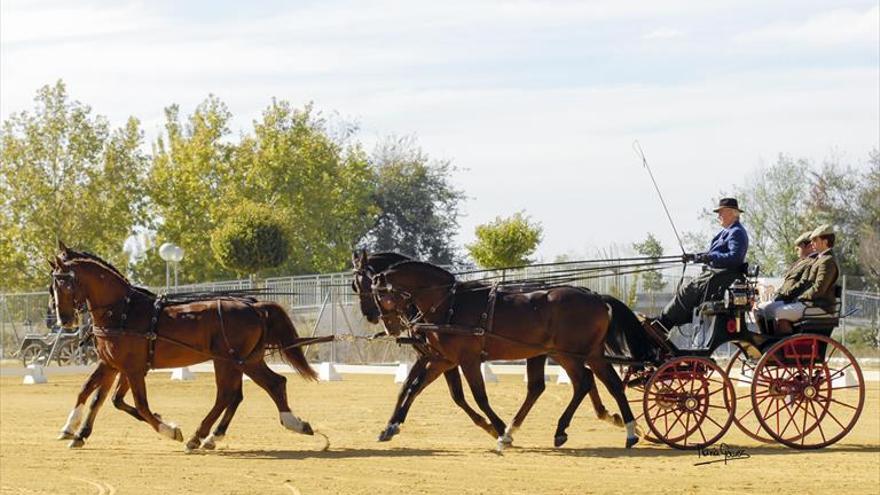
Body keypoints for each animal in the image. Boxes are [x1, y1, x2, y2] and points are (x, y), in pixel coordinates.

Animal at [50, 242, 316, 452]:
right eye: (53, 285)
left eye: (65, 283)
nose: (64, 319)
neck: (122, 310)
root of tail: (255, 306)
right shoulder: (112, 364)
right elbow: (93, 394)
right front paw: (75, 431)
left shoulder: (133, 368)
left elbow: (139, 405)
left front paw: (169, 429)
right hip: (246, 360)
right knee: (265, 386)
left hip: (229, 361)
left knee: (230, 394)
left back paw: (199, 437)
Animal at [372, 260, 648, 450]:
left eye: (380, 296)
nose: (390, 327)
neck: (449, 303)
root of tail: (594, 295)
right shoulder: (442, 359)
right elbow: (413, 388)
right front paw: (391, 426)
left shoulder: (467, 360)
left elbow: (479, 397)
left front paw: (499, 431)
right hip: (585, 353)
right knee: (608, 384)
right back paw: (629, 430)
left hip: (569, 354)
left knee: (584, 383)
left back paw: (560, 430)